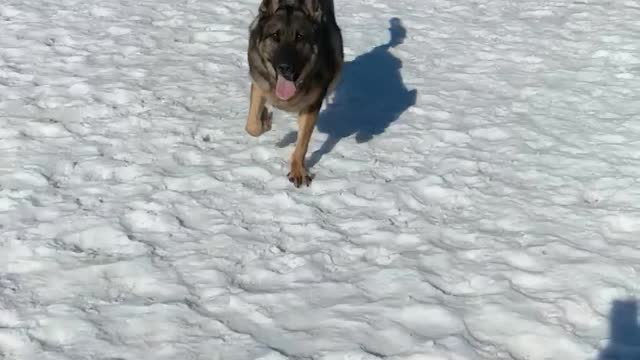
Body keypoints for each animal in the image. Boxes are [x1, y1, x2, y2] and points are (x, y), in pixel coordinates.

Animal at [246, 0, 344, 187]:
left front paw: (298, 171)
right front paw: (264, 120)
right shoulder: (259, 82)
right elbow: (252, 126)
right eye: (275, 36)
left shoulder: (311, 106)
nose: (285, 68)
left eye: (299, 37)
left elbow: (302, 144)